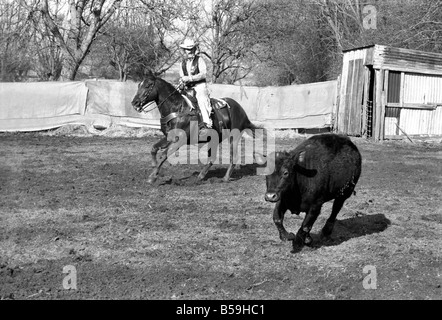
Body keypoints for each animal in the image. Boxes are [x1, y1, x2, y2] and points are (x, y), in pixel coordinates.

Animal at [130, 72, 262, 182]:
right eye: (139, 85)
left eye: (148, 85)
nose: (135, 103)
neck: (177, 108)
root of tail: (240, 109)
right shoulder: (169, 138)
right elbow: (154, 148)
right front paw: (154, 167)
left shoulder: (179, 140)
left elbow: (163, 155)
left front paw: (152, 177)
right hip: (215, 139)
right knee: (211, 158)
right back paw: (201, 176)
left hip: (233, 137)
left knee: (233, 157)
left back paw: (225, 178)